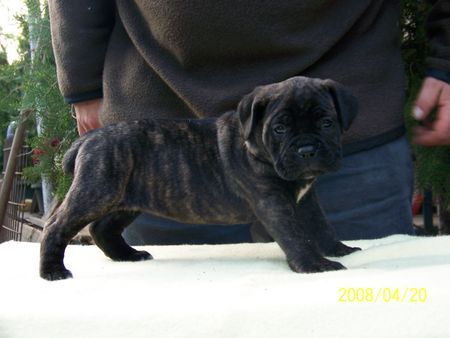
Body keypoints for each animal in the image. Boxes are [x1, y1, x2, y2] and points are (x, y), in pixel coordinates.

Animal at [40, 76, 360, 280]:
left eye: (327, 122)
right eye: (279, 128)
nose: (307, 150)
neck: (257, 146)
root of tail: (90, 138)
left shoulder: (306, 200)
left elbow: (320, 226)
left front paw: (338, 250)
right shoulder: (274, 204)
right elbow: (296, 235)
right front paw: (314, 264)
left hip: (125, 201)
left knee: (102, 228)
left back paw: (128, 256)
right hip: (95, 192)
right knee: (56, 225)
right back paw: (52, 271)